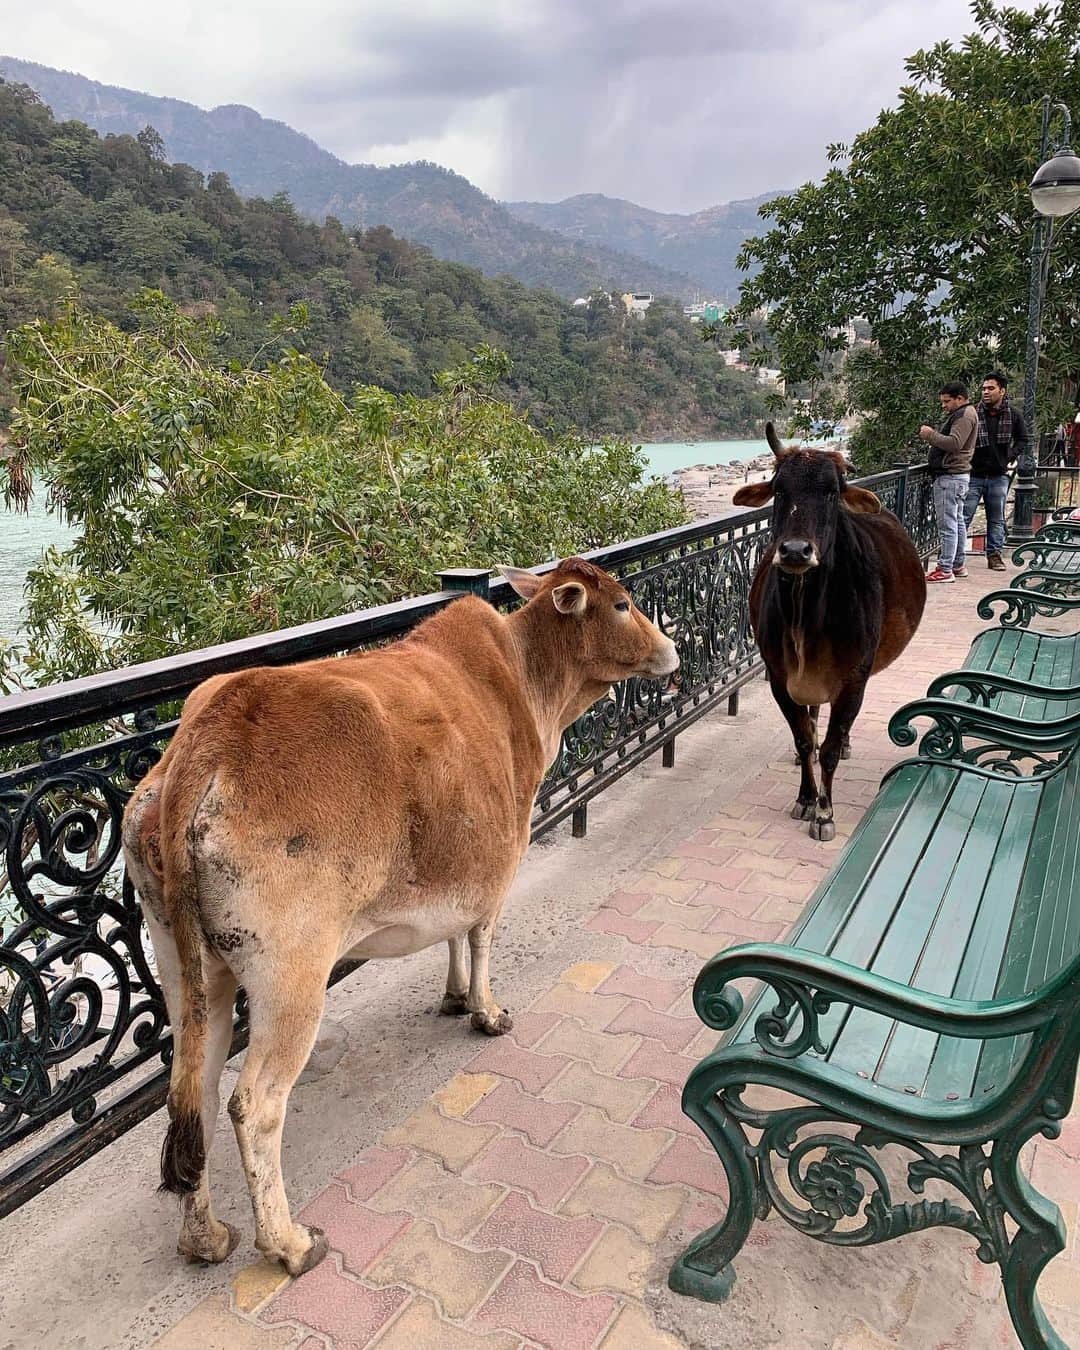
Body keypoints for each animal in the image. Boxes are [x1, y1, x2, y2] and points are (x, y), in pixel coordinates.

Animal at [120, 558, 675, 1274]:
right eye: (623, 602)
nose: (670, 647)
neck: (524, 676)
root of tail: (204, 743)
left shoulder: (456, 870)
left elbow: (452, 937)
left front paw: (452, 994)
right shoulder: (497, 865)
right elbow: (481, 940)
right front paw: (485, 1010)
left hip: (184, 964)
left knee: (195, 1095)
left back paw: (205, 1235)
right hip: (291, 974)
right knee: (255, 1105)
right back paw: (289, 1243)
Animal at [734, 426, 928, 837]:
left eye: (832, 492)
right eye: (779, 490)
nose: (795, 551)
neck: (806, 613)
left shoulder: (853, 678)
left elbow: (831, 748)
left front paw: (825, 812)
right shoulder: (780, 677)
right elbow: (805, 740)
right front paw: (806, 799)